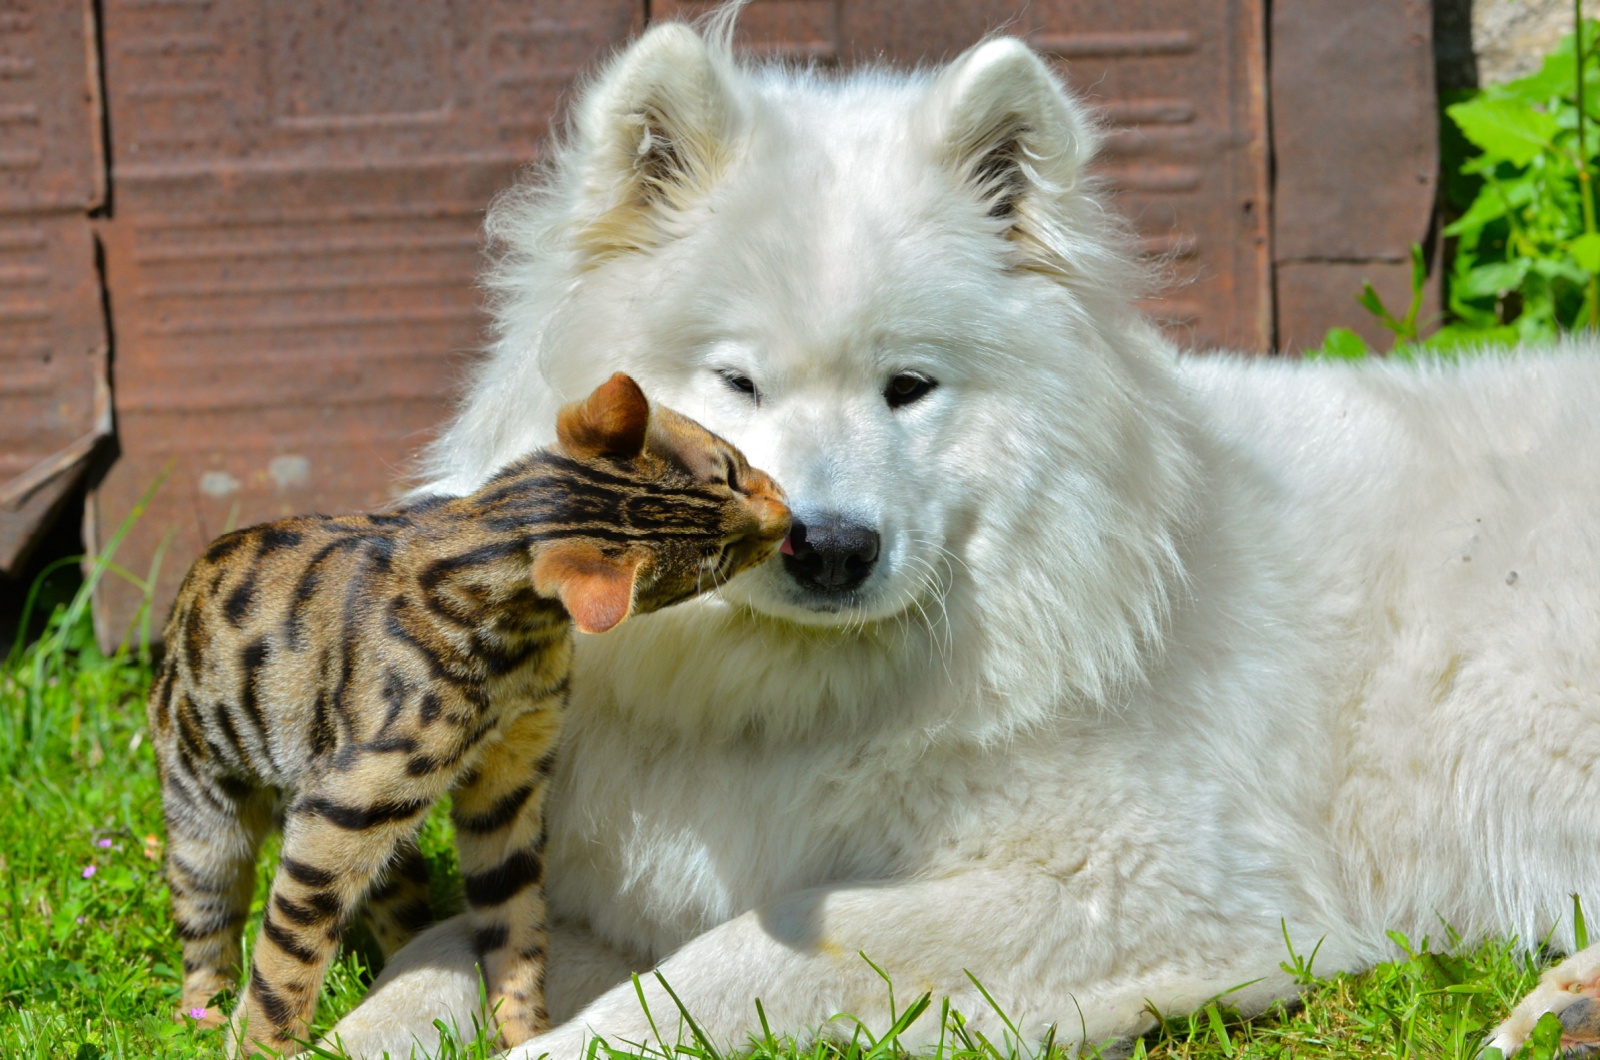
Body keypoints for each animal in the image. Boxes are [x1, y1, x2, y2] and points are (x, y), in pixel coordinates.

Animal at [147, 373, 790, 1056]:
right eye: (719, 558)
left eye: (732, 472)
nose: (789, 519)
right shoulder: (339, 808)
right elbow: (286, 955)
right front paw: (262, 1045)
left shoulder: (508, 788)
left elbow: (515, 927)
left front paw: (524, 1032)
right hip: (207, 815)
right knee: (207, 922)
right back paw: (202, 1012)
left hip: (387, 839)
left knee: (397, 906)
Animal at [324, 10, 1600, 1060]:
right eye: (737, 382)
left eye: (908, 387)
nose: (832, 547)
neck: (791, 696)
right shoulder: (613, 893)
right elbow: (431, 963)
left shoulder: (1146, 882)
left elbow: (751, 959)